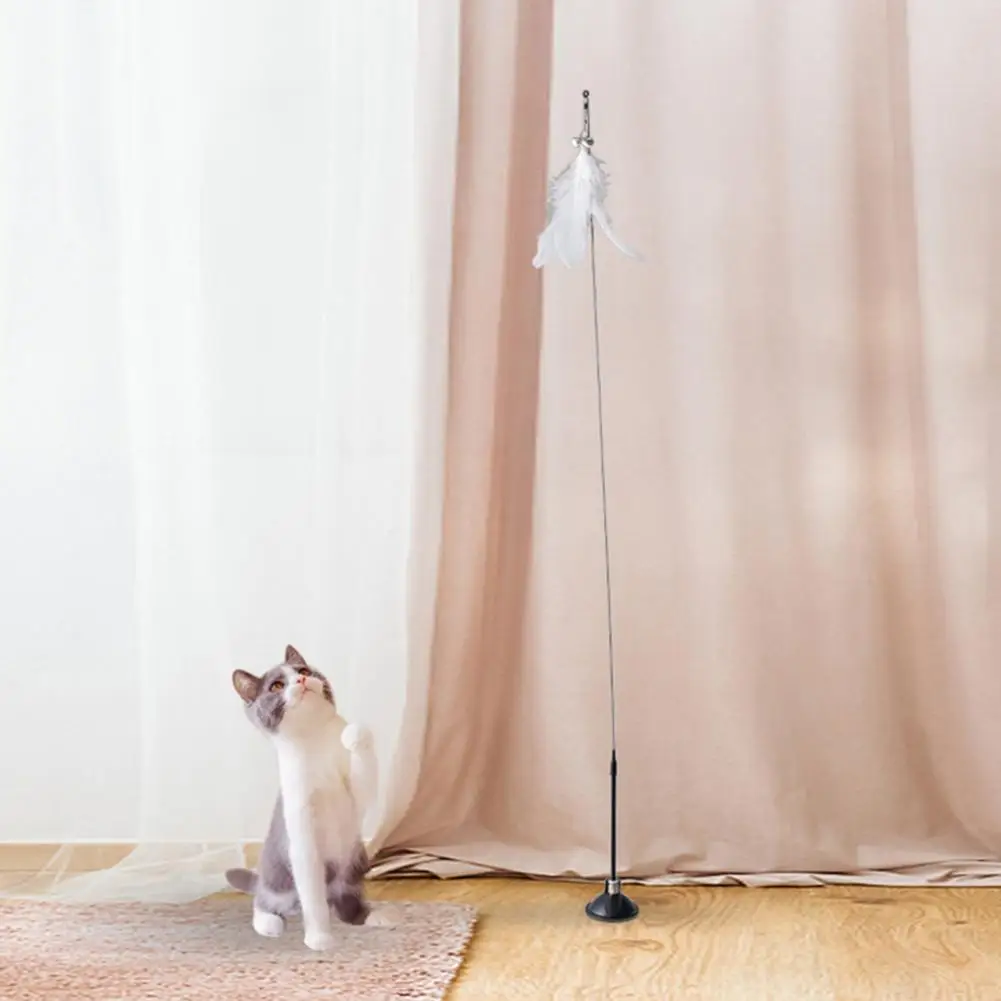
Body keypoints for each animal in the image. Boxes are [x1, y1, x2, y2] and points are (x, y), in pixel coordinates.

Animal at [225, 645, 384, 951]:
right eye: (276, 686)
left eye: (304, 670)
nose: (300, 679)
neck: (316, 744)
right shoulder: (301, 830)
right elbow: (313, 896)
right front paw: (320, 939)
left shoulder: (355, 794)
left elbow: (365, 782)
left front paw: (355, 734)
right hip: (278, 881)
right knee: (265, 902)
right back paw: (269, 924)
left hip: (354, 862)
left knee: (346, 898)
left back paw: (371, 916)